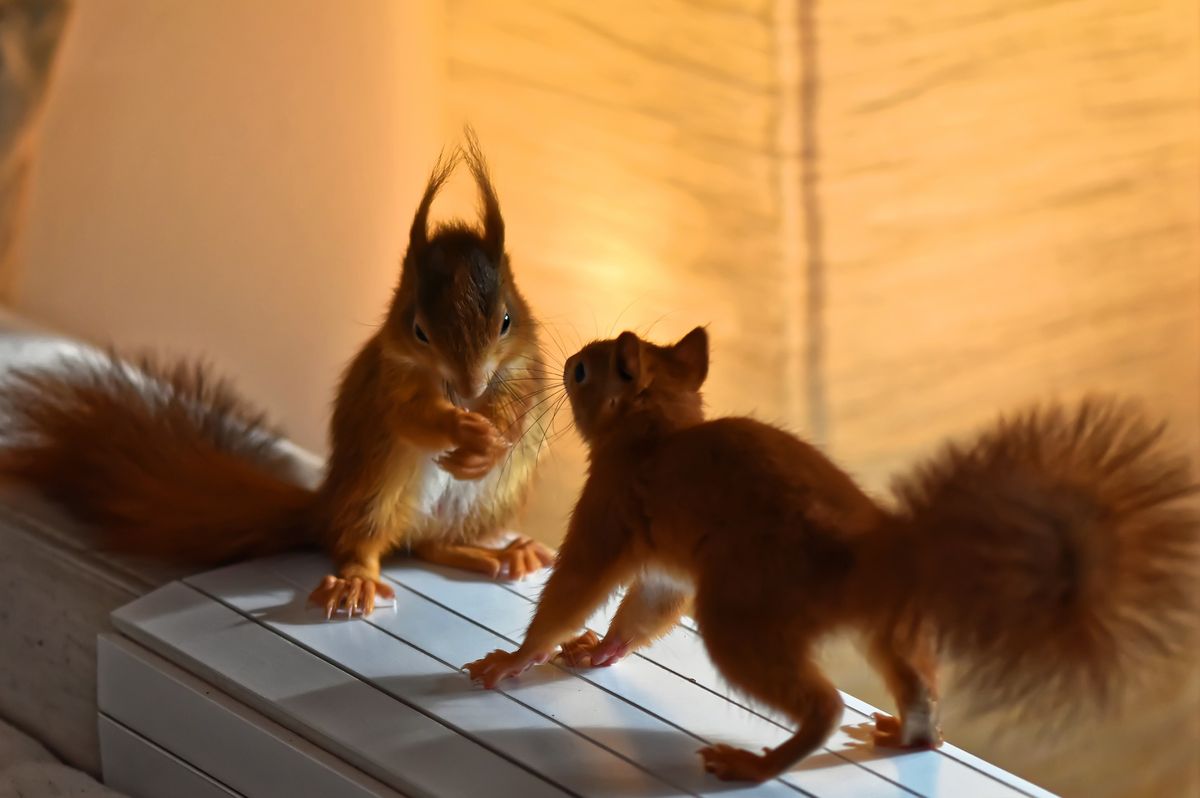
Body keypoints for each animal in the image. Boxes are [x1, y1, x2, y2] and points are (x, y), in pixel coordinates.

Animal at [0, 132, 559, 614]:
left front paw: (488, 438)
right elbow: (410, 417)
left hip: (488, 503)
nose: (469, 388)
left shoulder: (528, 370)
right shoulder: (391, 379)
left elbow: (516, 414)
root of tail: (325, 506)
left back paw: (500, 553)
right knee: (365, 544)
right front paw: (459, 429)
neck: (458, 390)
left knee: (431, 547)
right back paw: (358, 579)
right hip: (374, 490)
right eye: (418, 330)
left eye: (505, 320)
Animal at [465, 326, 1200, 782]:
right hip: (891, 629)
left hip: (742, 616)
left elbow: (575, 591)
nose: (564, 365)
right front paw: (599, 651)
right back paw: (904, 733)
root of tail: (876, 555)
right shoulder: (664, 566)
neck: (659, 434)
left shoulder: (610, 512)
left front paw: (515, 659)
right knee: (921, 694)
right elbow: (643, 610)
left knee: (821, 707)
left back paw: (759, 764)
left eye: (584, 370)